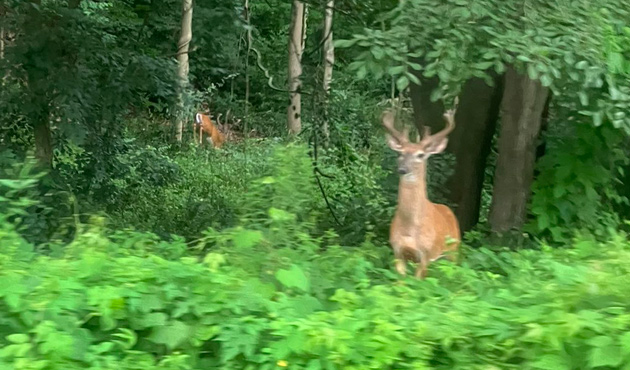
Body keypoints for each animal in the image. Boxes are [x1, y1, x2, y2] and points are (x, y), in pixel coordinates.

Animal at [382, 98, 462, 278]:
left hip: (454, 249)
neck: (410, 230)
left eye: (420, 155)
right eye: (400, 153)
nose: (402, 169)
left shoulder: (426, 255)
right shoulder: (398, 252)